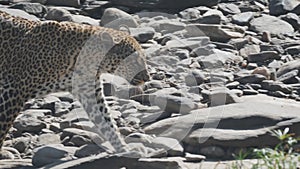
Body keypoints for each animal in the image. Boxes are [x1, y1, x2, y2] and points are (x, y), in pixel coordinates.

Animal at [0, 10, 150, 160]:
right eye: (134, 60)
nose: (148, 77)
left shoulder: (90, 93)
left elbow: (107, 123)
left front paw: (125, 149)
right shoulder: (13, 91)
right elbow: (3, 125)